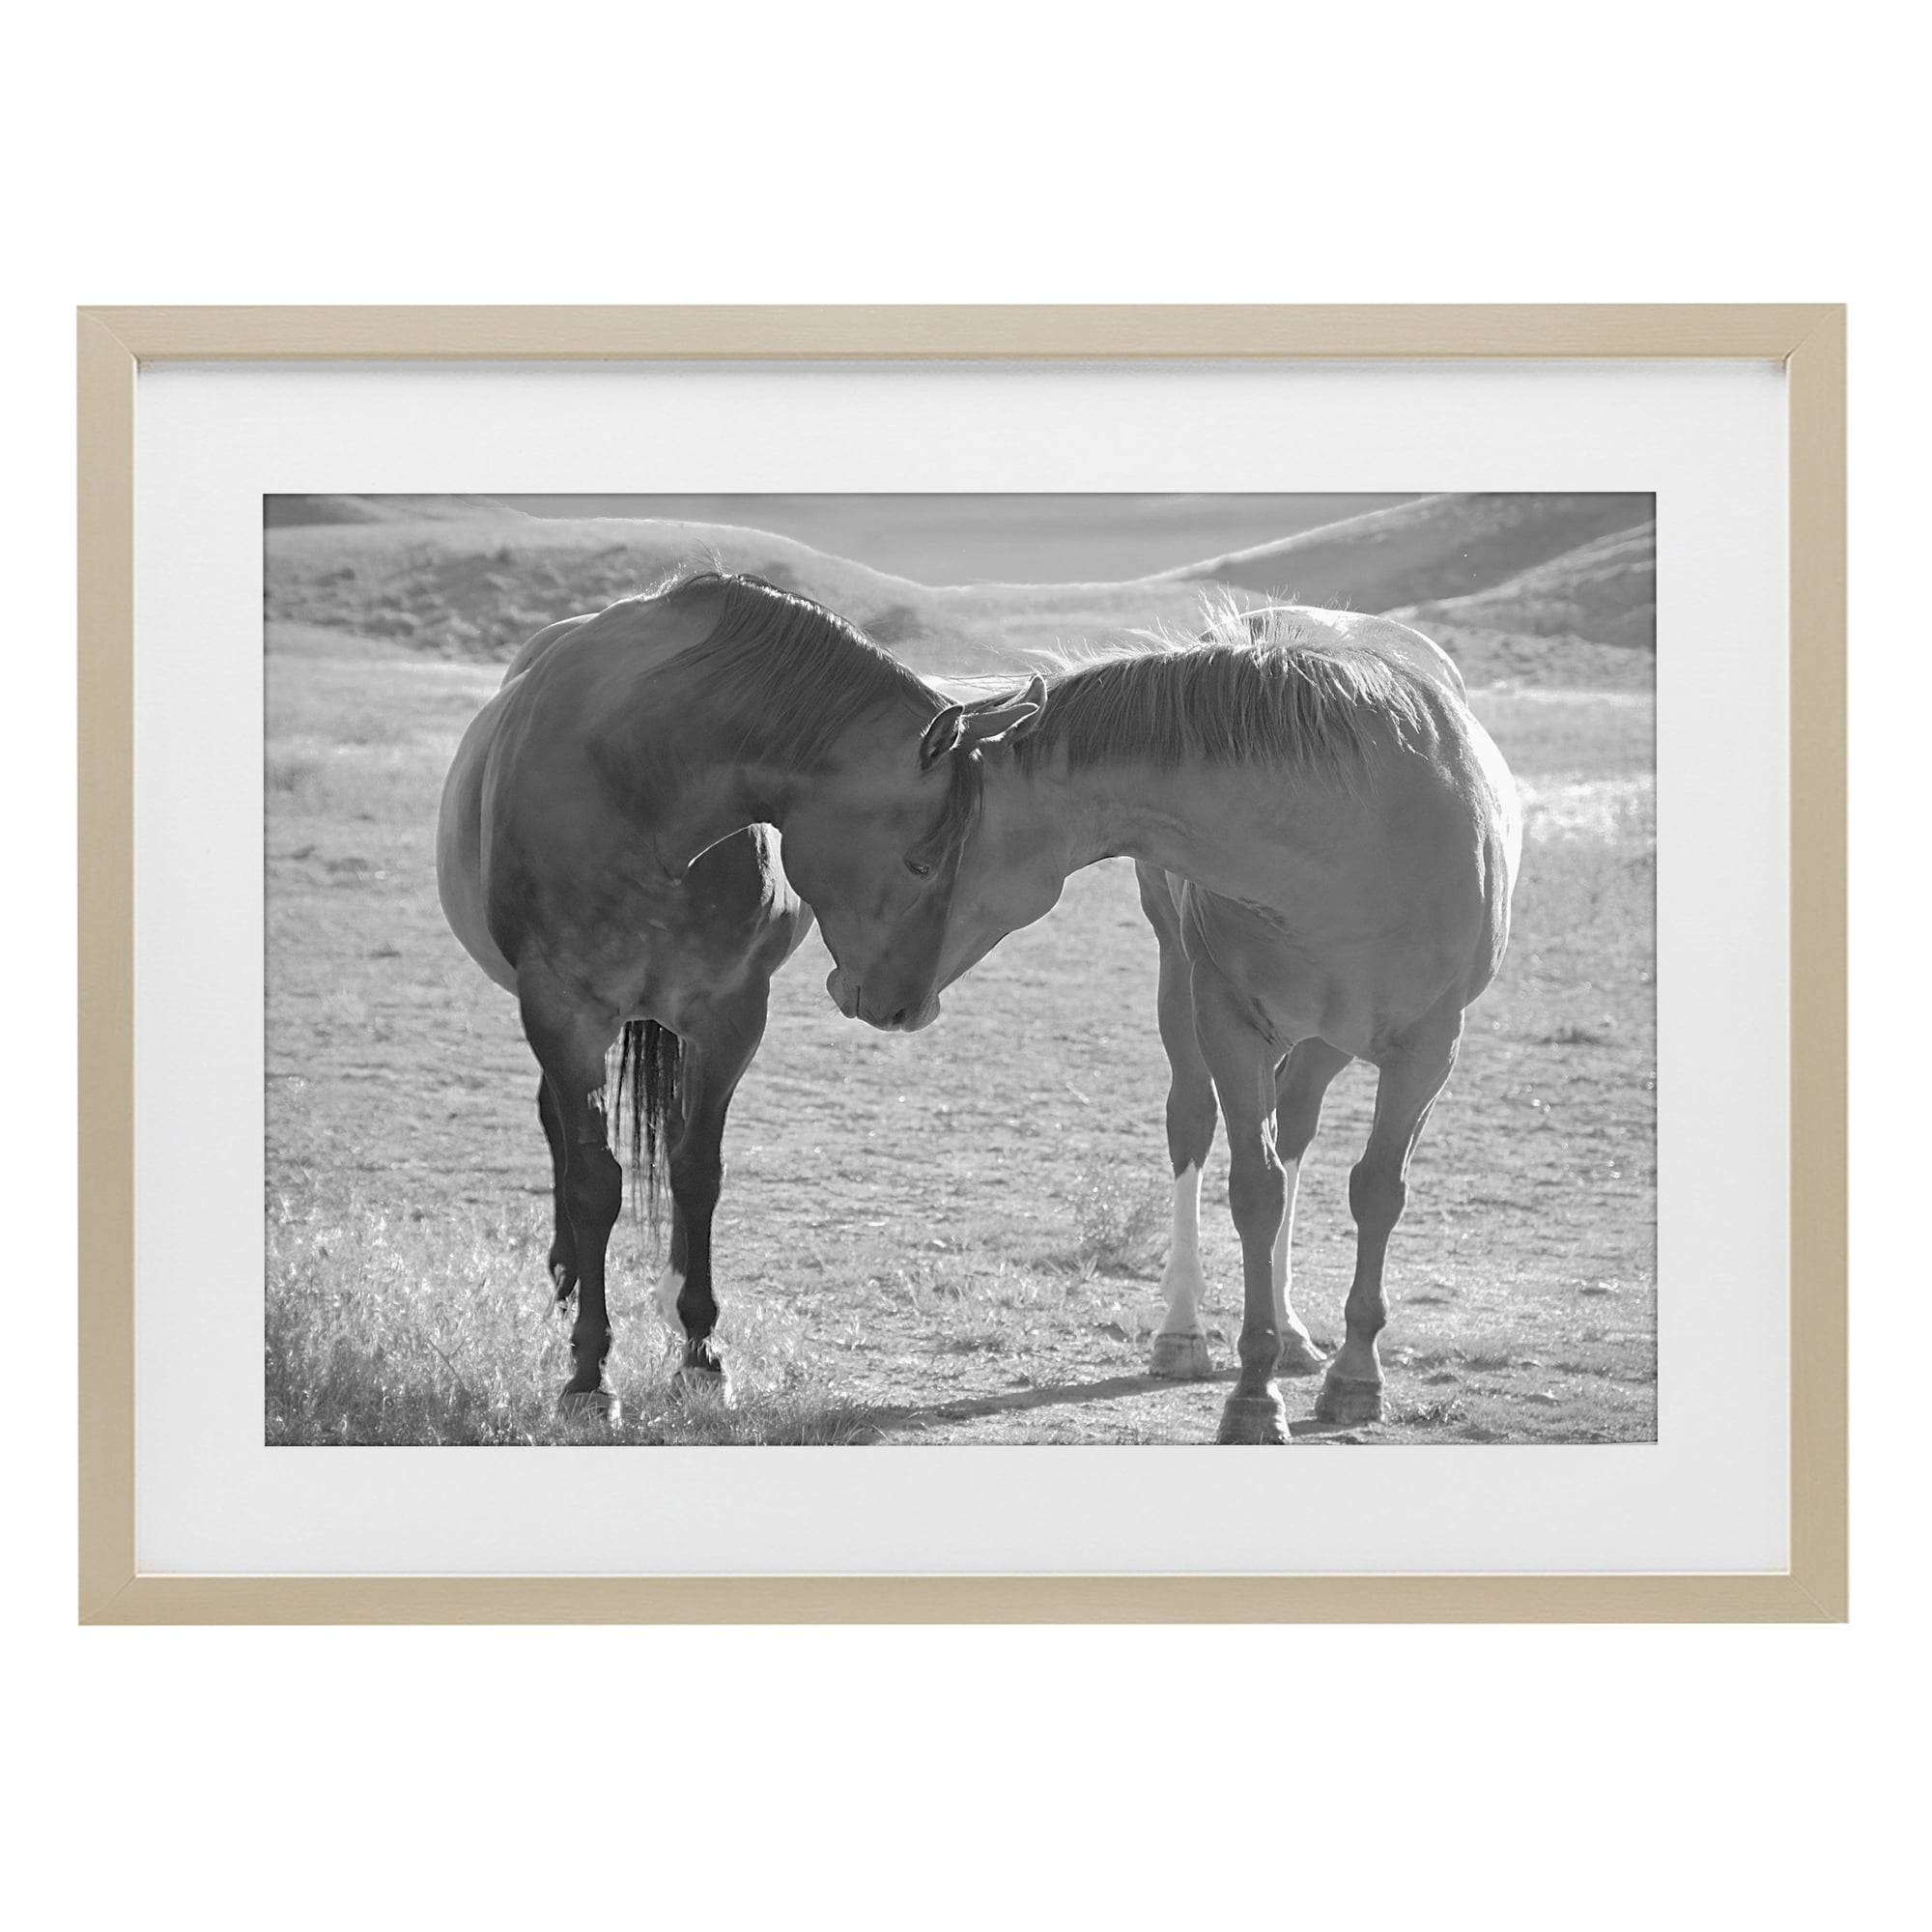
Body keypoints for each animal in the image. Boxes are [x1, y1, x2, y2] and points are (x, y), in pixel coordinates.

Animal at [435, 569, 1039, 1417]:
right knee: (558, 1125)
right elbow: (594, 1182)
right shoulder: (562, 1011)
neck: (640, 783)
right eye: (922, 861)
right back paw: (567, 1275)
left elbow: (697, 1171)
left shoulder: (728, 1017)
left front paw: (699, 1351)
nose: (908, 1008)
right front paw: (589, 1373)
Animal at [852, 596, 1523, 1444]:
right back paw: (1182, 1331)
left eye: (918, 858)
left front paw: (1355, 1377)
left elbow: (1375, 1191)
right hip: (1184, 989)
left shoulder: (1430, 1049)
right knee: (1193, 1126)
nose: (864, 992)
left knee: (1297, 1128)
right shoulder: (1228, 1024)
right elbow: (1253, 1191)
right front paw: (1253, 1394)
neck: (1352, 833)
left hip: (1328, 1040)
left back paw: (1296, 1330)